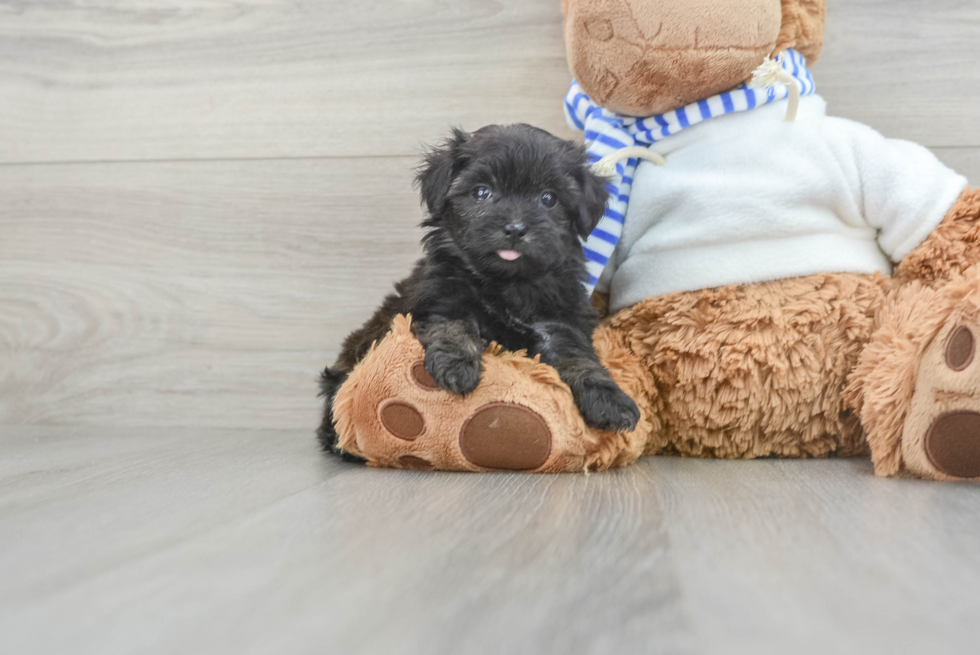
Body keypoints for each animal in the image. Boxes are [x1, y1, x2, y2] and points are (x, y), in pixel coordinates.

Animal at [322, 125, 640, 458]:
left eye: (549, 198)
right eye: (482, 192)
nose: (515, 228)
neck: (507, 283)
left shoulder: (559, 323)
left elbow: (581, 361)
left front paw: (610, 400)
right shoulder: (444, 298)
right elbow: (453, 327)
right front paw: (456, 366)